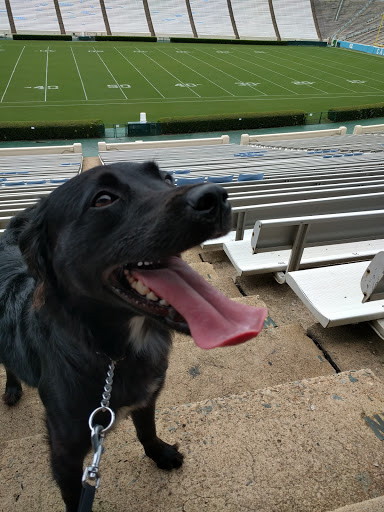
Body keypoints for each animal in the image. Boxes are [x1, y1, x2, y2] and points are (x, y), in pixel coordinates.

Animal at [0, 162, 231, 510]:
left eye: (167, 179)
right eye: (104, 199)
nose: (216, 196)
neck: (112, 355)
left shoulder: (146, 397)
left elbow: (147, 430)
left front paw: (160, 454)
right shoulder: (64, 452)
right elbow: (73, 497)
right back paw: (12, 389)